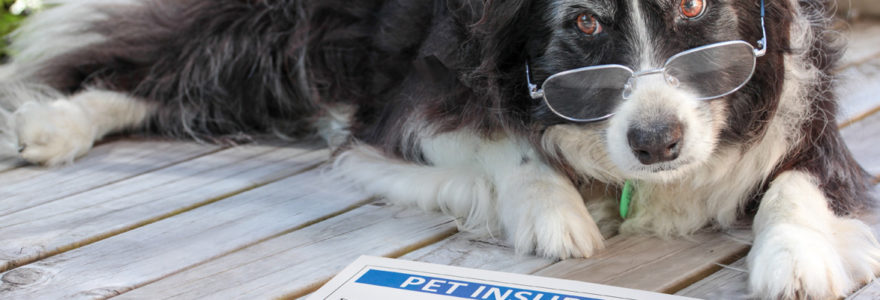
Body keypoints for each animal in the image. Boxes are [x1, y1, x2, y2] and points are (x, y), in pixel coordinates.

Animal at [0, 0, 876, 298]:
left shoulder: (810, 127)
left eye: (695, 8)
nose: (656, 143)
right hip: (281, 32)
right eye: (584, 23)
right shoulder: (408, 105)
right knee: (168, 66)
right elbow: (502, 144)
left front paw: (796, 260)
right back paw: (55, 126)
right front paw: (553, 212)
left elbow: (800, 184)